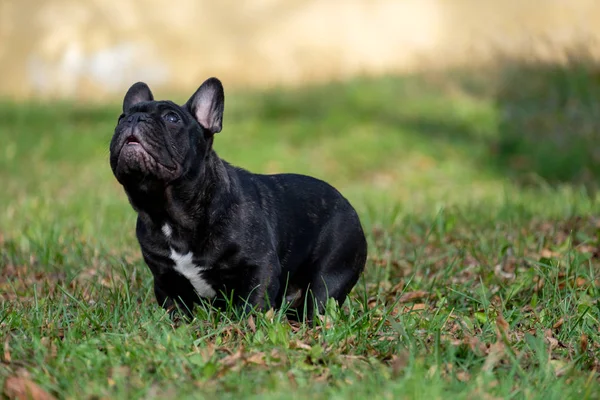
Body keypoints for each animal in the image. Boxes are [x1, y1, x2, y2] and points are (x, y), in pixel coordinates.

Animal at [110, 79, 368, 322]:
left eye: (171, 118)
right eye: (120, 118)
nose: (133, 119)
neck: (167, 211)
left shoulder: (259, 268)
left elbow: (251, 307)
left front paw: (244, 328)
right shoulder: (165, 280)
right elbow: (176, 311)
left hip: (331, 273)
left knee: (319, 301)